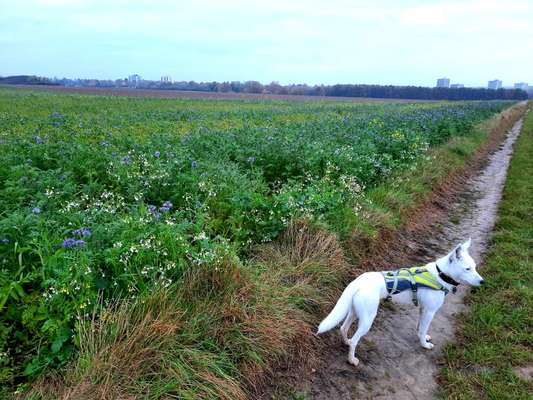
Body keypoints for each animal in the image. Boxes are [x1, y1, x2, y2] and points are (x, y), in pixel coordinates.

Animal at [316, 239, 482, 368]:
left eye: (474, 267)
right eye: (467, 269)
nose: (483, 281)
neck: (440, 275)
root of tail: (358, 281)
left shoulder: (423, 310)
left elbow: (420, 328)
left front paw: (423, 336)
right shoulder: (430, 311)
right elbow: (423, 330)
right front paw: (424, 344)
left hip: (354, 312)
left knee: (343, 329)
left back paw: (346, 342)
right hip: (367, 319)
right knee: (355, 340)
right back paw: (352, 359)